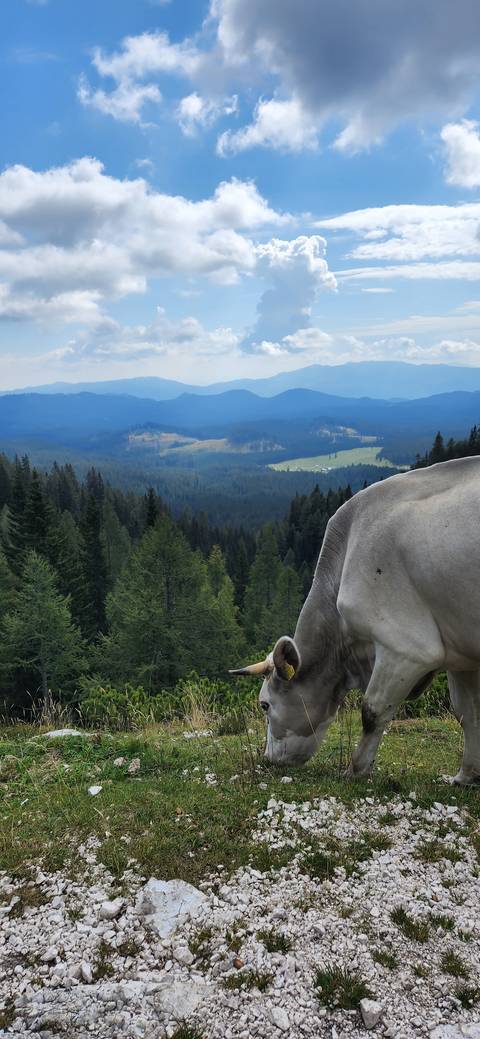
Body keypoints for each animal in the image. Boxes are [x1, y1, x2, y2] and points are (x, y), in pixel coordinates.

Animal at [230, 457, 480, 784]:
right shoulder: (460, 653)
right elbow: (467, 712)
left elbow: (372, 711)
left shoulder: (407, 649)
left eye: (264, 705)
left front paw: (356, 770)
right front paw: (466, 776)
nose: (269, 758)